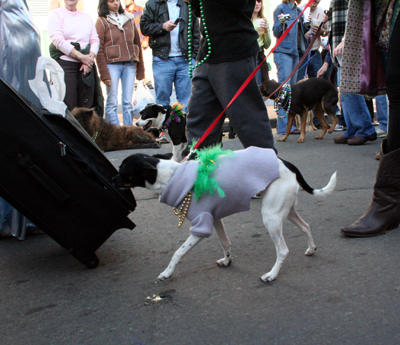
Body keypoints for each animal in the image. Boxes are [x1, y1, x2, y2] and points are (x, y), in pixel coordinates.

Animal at [113, 146, 338, 282]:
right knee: (305, 226)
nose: (112, 181)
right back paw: (311, 249)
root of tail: (287, 164)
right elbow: (226, 242)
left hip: (271, 218)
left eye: (122, 170)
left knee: (283, 250)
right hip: (285, 211)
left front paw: (167, 272)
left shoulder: (201, 227)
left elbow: (178, 252)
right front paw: (227, 260)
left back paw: (272, 275)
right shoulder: (215, 219)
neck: (172, 177)